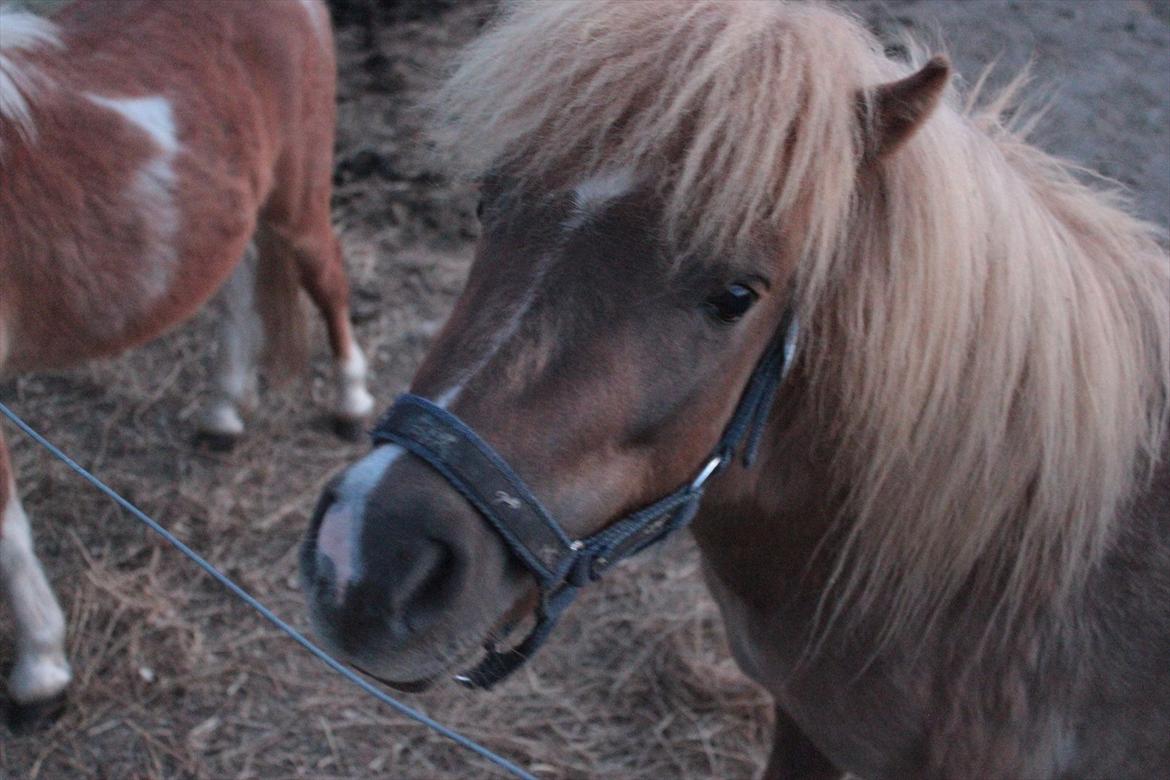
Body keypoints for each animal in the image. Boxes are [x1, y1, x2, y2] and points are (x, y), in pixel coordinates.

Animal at [0, 3, 372, 729]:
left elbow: (6, 532)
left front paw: (40, 674)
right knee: (238, 282)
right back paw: (223, 413)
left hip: (299, 199)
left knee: (328, 281)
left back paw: (350, 404)